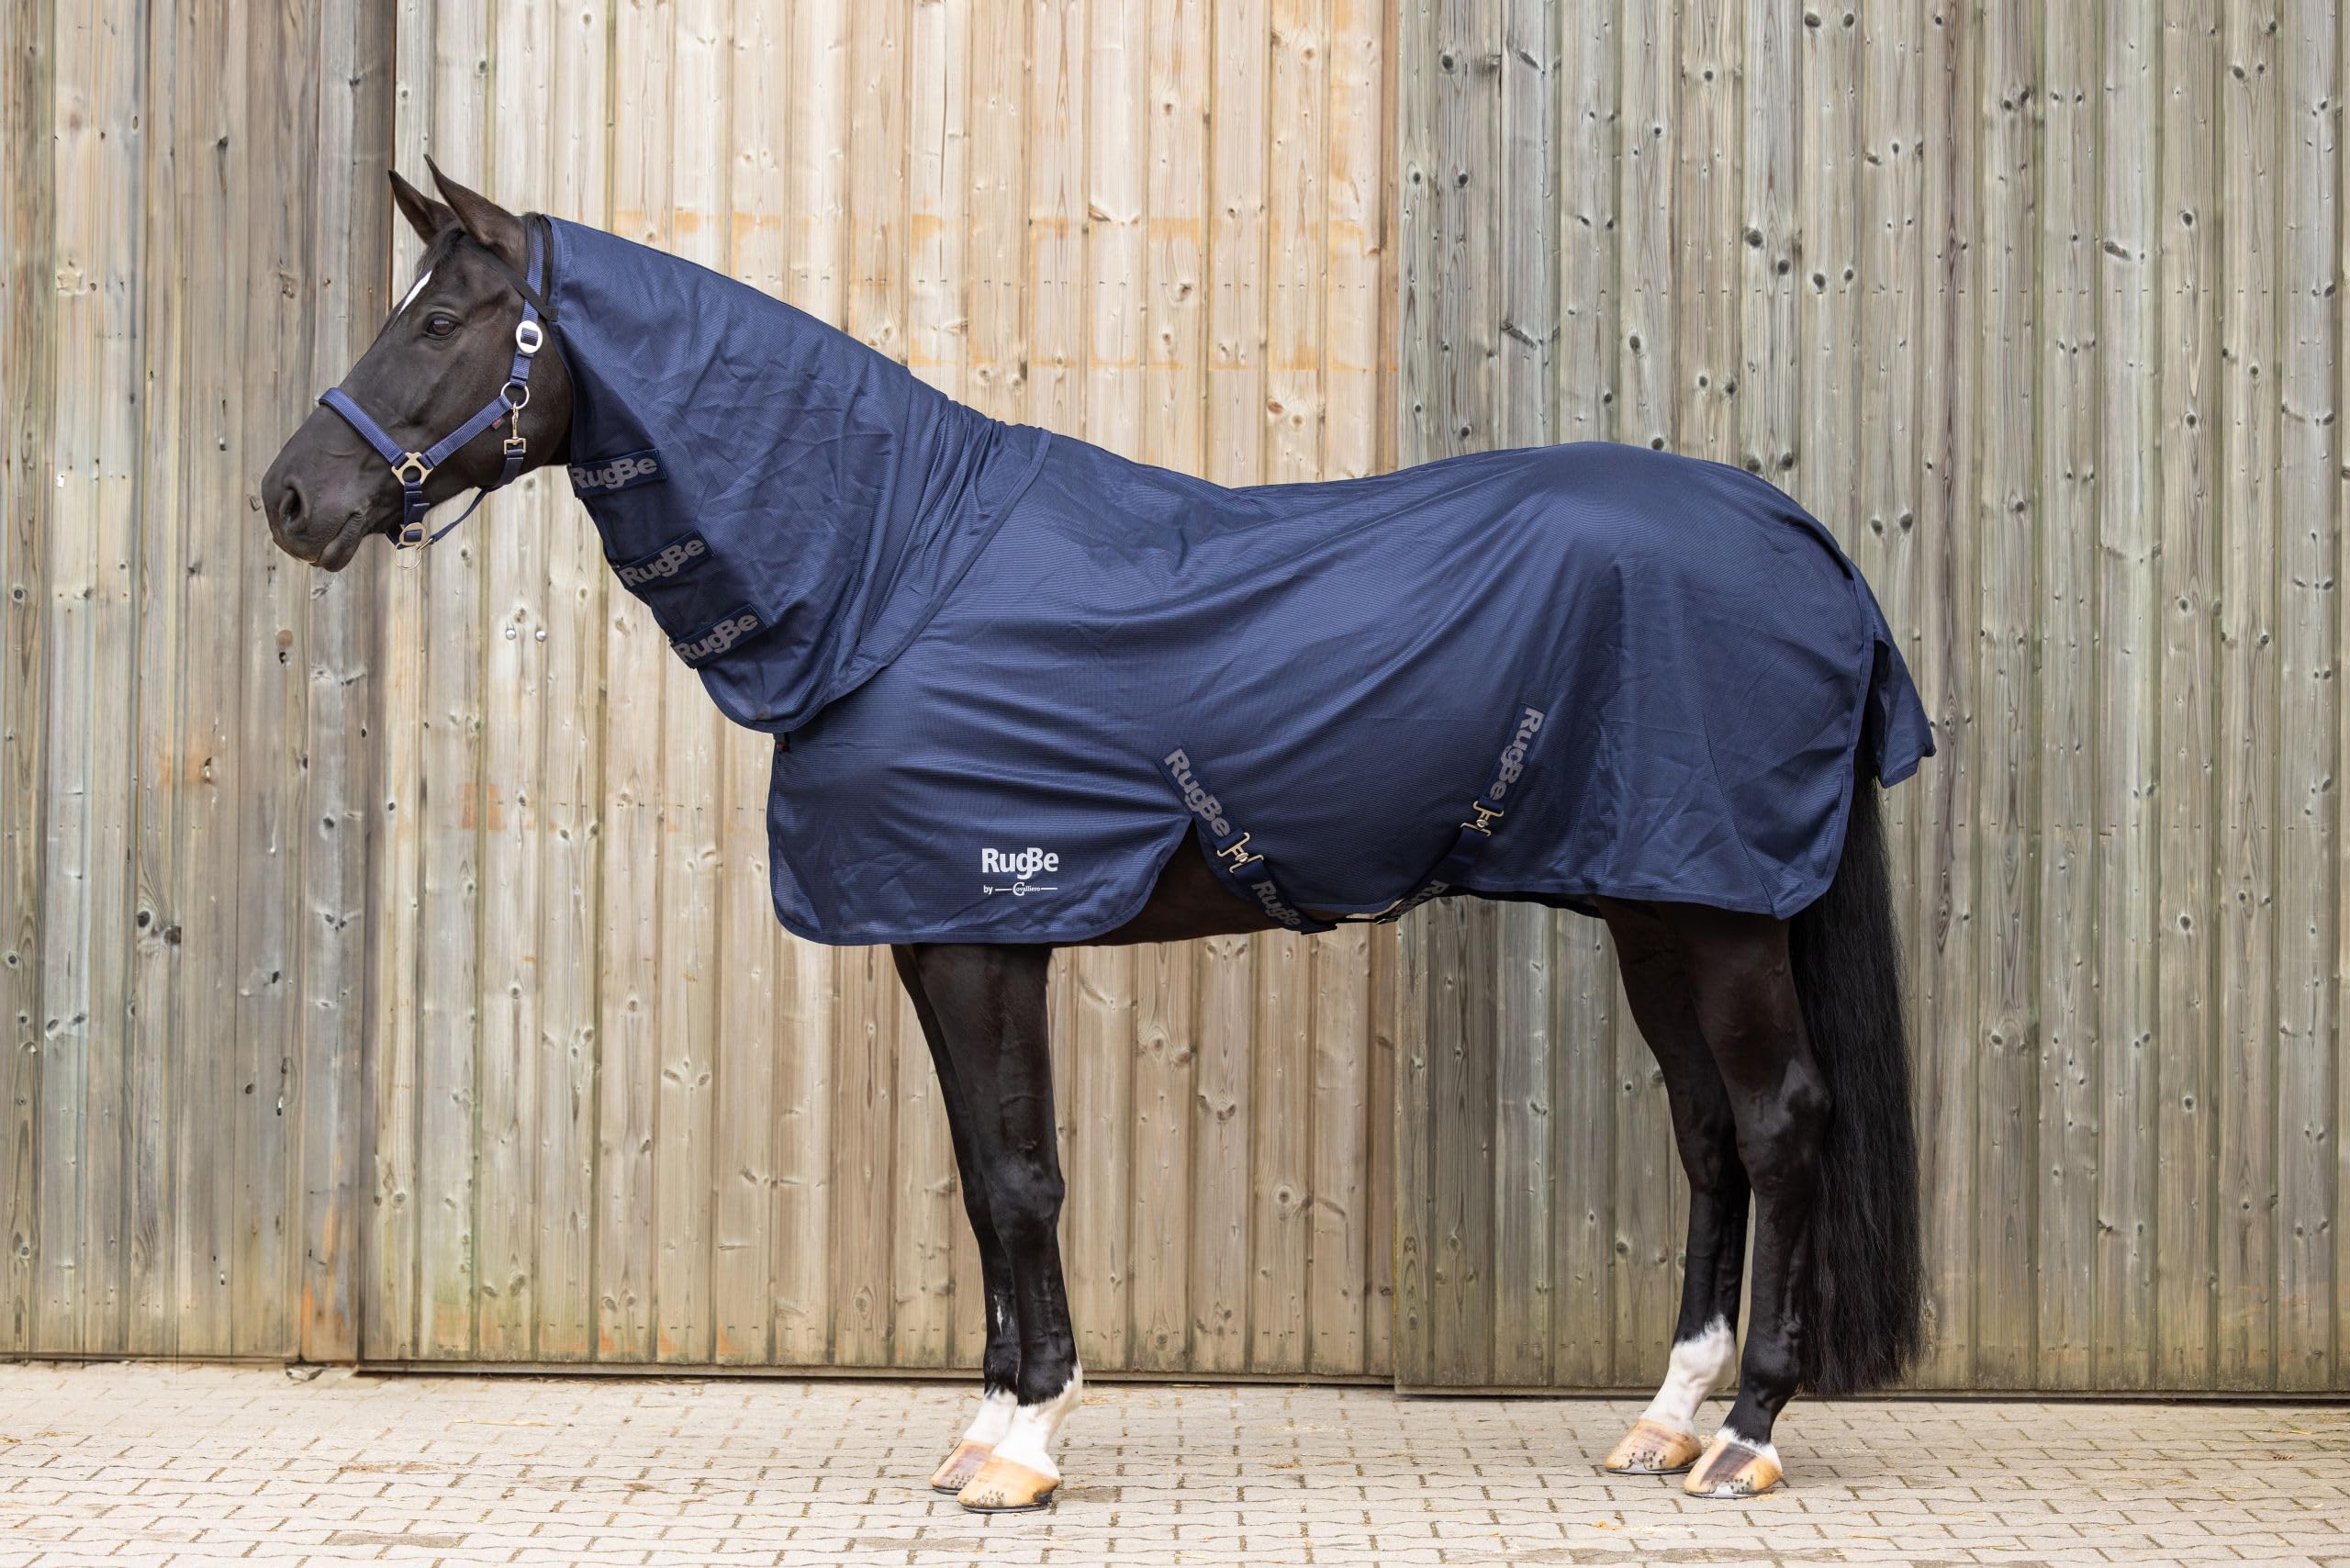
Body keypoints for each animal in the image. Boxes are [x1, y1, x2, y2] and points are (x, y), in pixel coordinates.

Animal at [262, 163, 1932, 1511]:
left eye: (439, 323)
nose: (291, 498)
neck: (893, 575)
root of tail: (1803, 544)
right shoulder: (937, 934)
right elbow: (978, 1169)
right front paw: (991, 1419)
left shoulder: (990, 929)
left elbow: (1020, 1177)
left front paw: (1025, 1445)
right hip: (1660, 899)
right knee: (1708, 1131)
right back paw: (1665, 1417)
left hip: (1718, 913)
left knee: (1782, 1120)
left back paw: (1747, 1434)